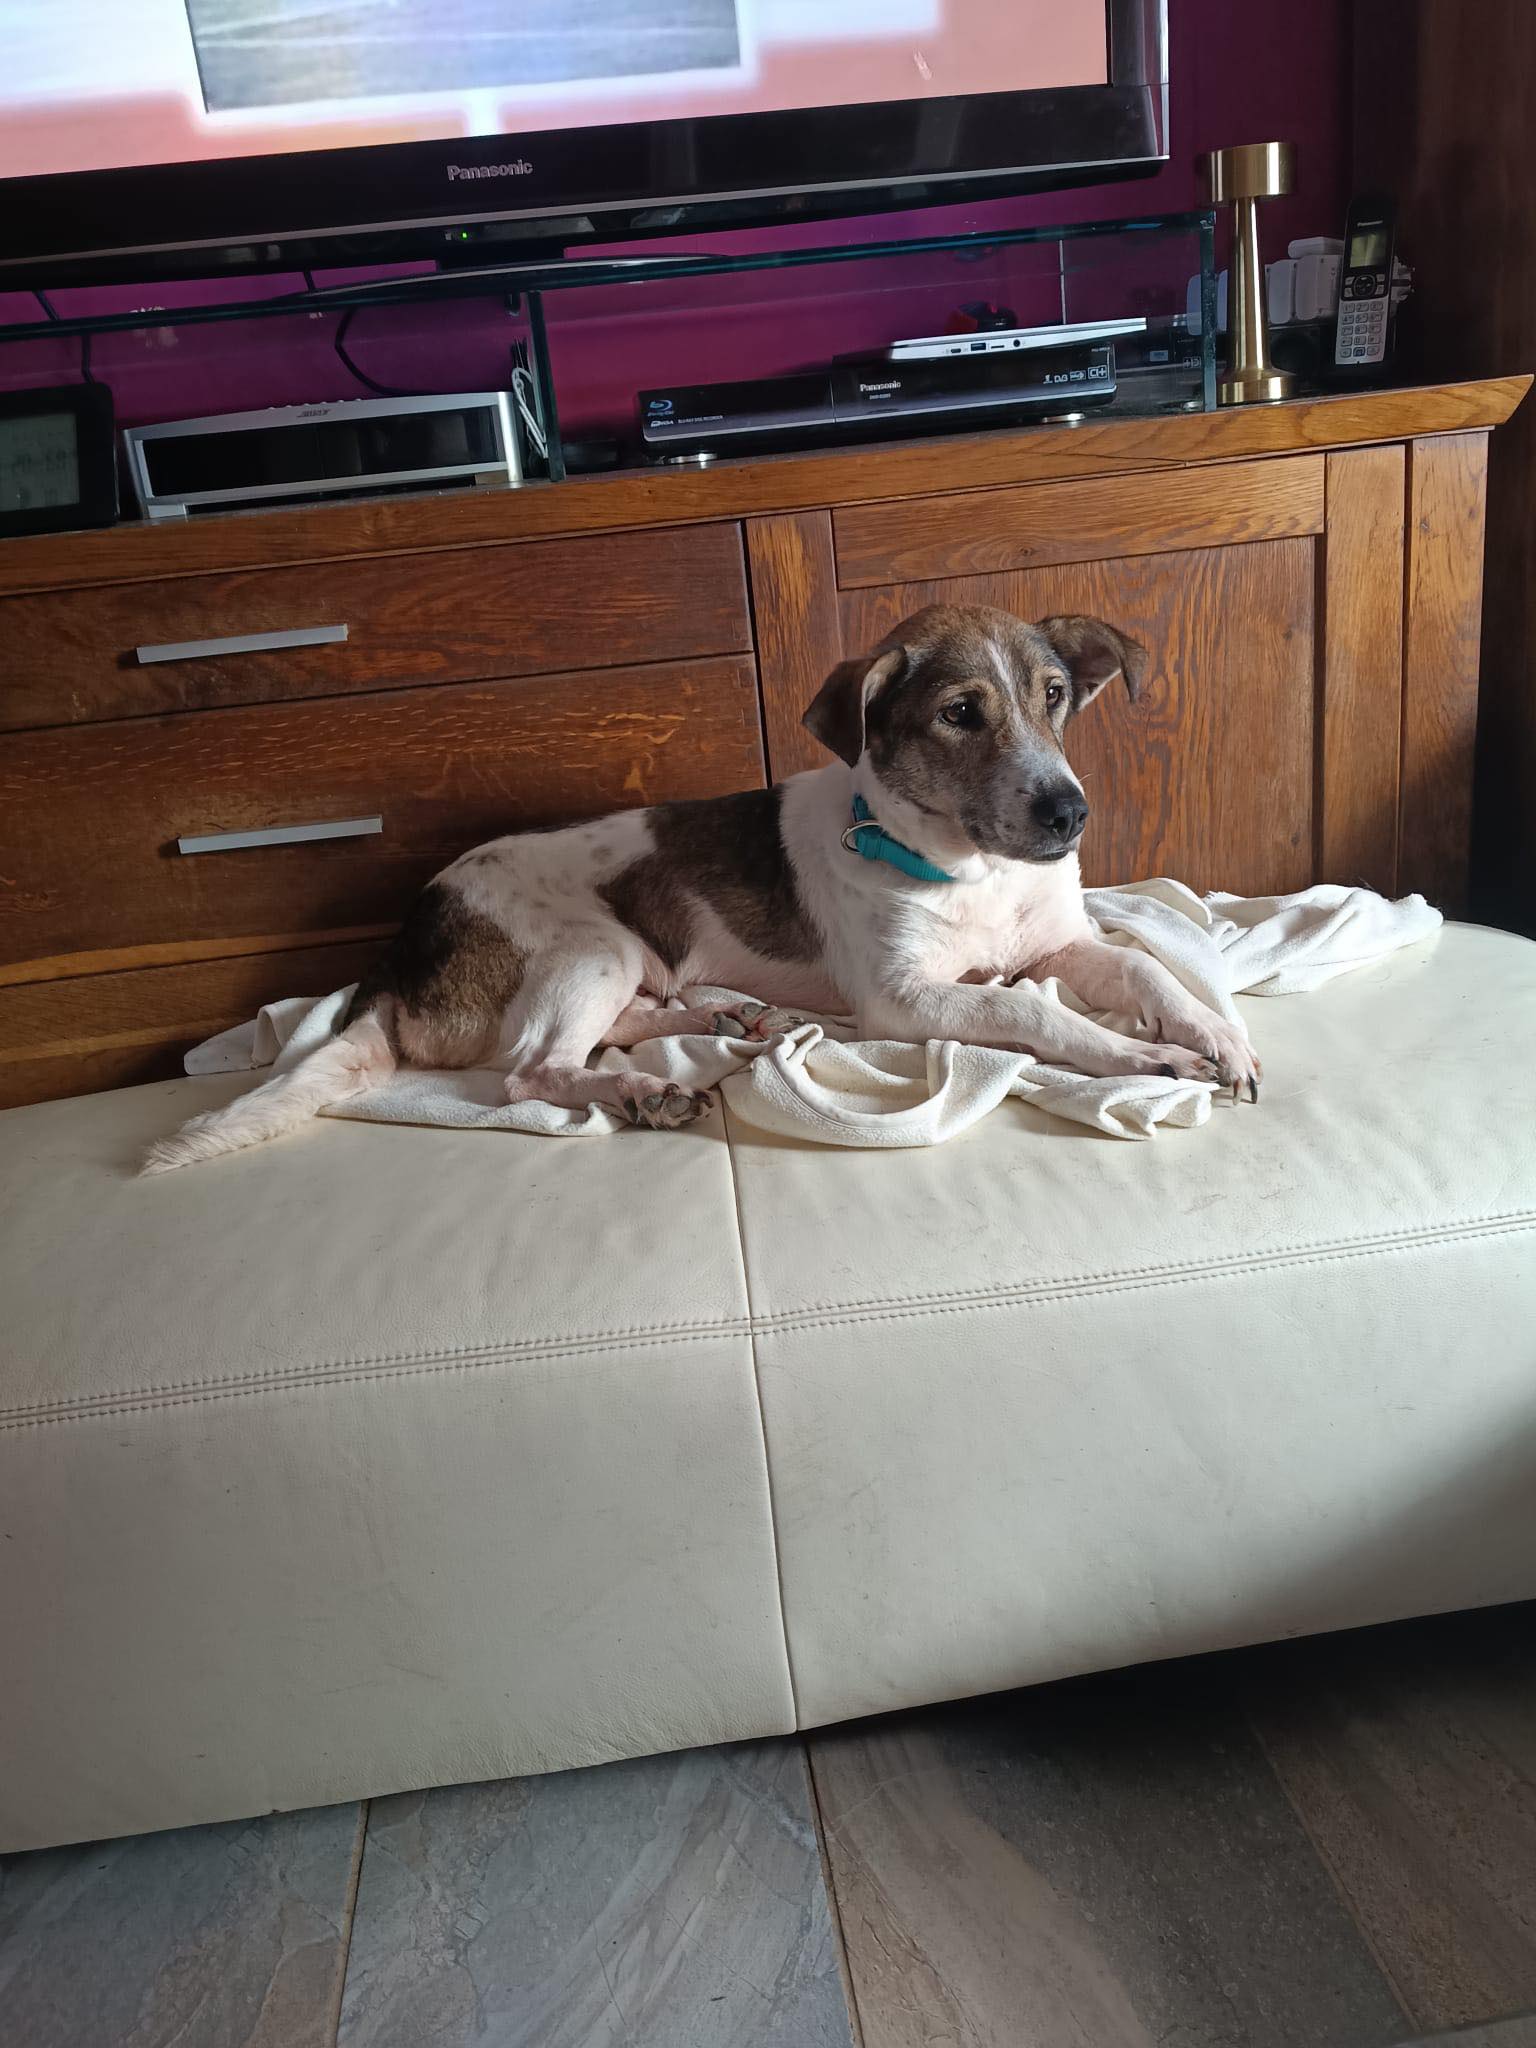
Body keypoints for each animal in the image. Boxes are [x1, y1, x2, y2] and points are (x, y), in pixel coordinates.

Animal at [142, 602, 1258, 1173]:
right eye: (959, 713)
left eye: (1056, 696)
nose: (1070, 814)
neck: (967, 870)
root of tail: (400, 950)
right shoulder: (903, 1000)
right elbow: (1039, 1018)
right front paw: (1148, 1060)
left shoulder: (1062, 941)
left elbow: (1146, 971)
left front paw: (1216, 1034)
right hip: (594, 944)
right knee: (529, 1070)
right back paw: (645, 1091)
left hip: (630, 960)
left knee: (610, 1027)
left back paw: (727, 1018)